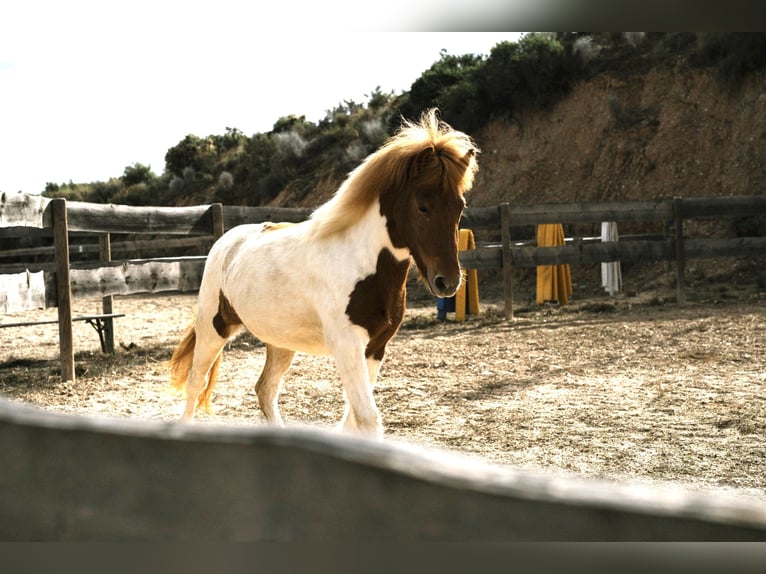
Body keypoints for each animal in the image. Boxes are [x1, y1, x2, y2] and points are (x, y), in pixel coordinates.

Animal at [169, 108, 479, 436]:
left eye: (460, 206)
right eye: (422, 206)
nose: (447, 282)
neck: (361, 262)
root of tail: (226, 241)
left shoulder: (375, 347)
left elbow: (353, 418)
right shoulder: (347, 345)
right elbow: (367, 418)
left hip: (280, 342)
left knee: (266, 388)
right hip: (213, 328)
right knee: (195, 383)